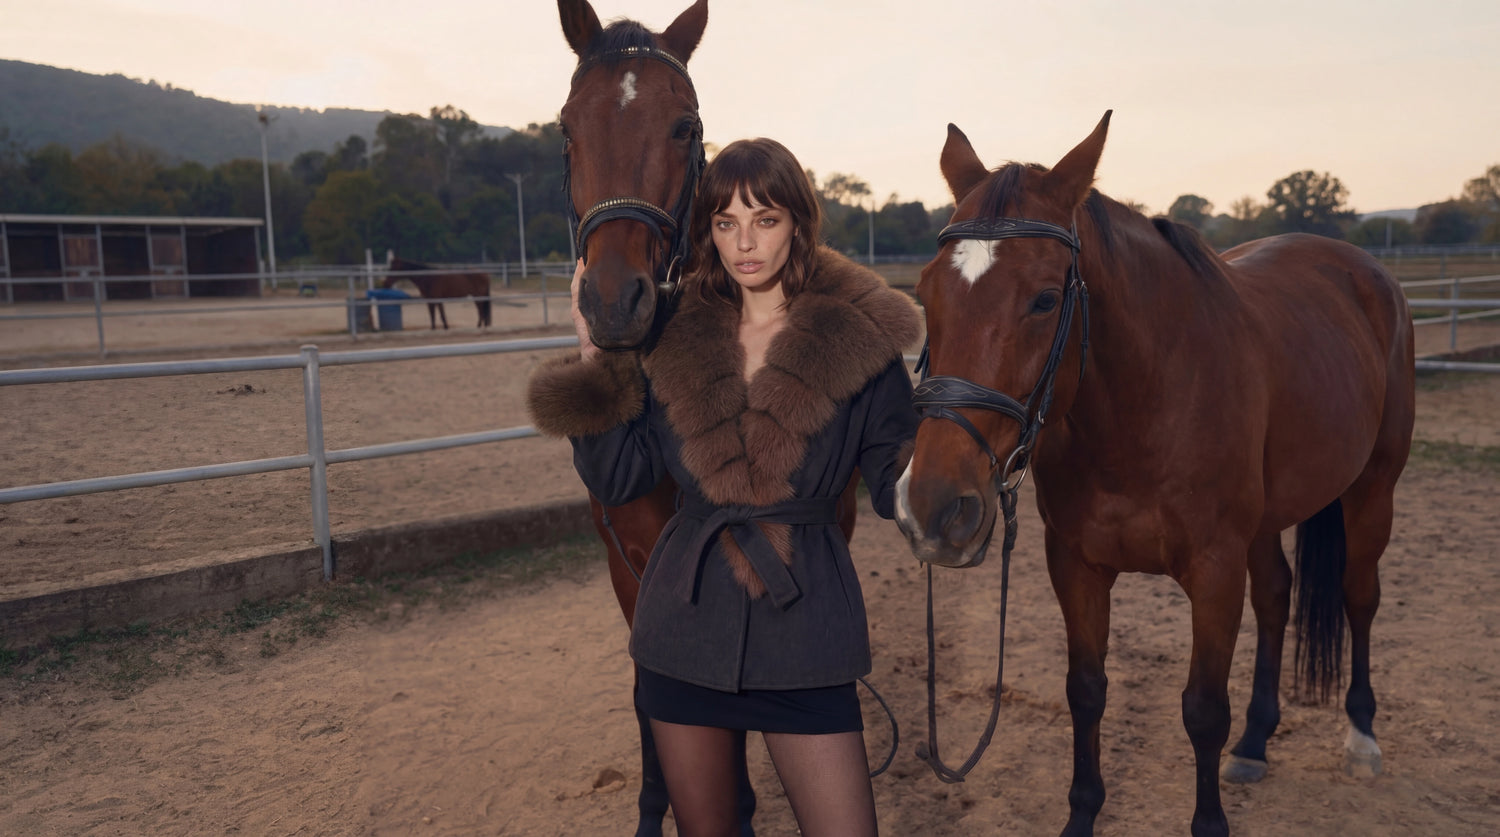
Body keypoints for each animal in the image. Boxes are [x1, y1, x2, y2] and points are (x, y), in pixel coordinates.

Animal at [894, 112, 1414, 837]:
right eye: (924, 292)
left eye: (1045, 299)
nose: (934, 508)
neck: (1146, 404)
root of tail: (1367, 272)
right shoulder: (1076, 565)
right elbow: (1086, 692)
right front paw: (1081, 815)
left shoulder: (1215, 569)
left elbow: (1203, 708)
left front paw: (1211, 822)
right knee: (1277, 596)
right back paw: (1255, 742)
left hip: (1373, 488)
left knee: (1358, 596)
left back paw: (1361, 739)